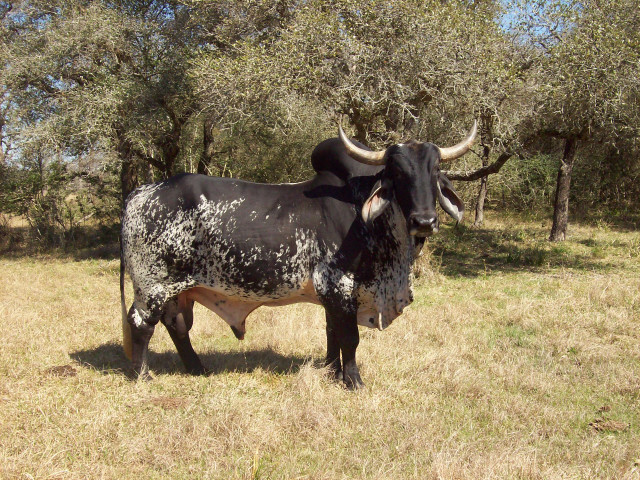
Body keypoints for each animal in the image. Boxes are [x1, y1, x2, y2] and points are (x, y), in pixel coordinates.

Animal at [120, 120, 477, 389]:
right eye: (398, 173)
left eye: (435, 172)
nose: (425, 221)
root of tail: (142, 192)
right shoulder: (337, 283)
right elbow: (349, 337)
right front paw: (354, 382)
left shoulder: (333, 295)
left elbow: (333, 334)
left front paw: (333, 373)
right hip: (151, 287)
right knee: (140, 324)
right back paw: (142, 376)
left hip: (179, 290)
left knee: (176, 325)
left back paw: (197, 369)